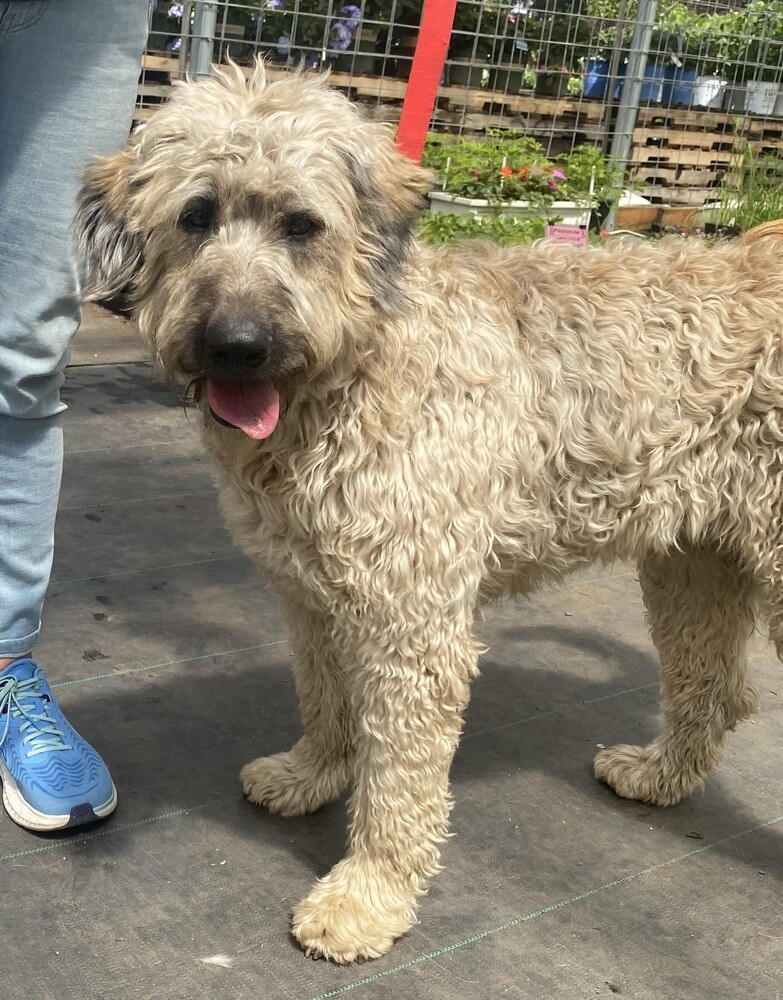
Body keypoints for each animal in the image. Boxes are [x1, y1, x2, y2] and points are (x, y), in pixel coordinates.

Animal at [78, 64, 783, 960]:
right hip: (691, 563)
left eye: (301, 225)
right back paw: (658, 776)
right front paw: (311, 774)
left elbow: (398, 780)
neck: (351, 368)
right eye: (195, 216)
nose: (237, 346)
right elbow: (323, 697)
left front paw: (366, 896)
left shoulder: (410, 623)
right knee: (715, 687)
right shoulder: (310, 595)